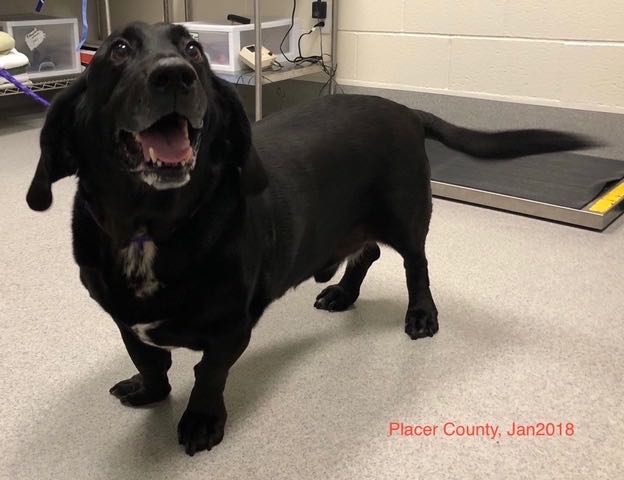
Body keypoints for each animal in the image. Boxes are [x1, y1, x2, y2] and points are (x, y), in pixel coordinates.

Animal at [28, 22, 596, 456]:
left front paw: (201, 420)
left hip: (407, 216)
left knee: (416, 265)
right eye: (118, 50)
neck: (151, 228)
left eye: (193, 48)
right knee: (366, 252)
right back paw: (342, 292)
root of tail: (406, 111)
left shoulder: (230, 331)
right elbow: (148, 359)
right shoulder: (124, 321)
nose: (174, 75)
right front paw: (149, 390)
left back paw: (421, 315)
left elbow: (209, 375)